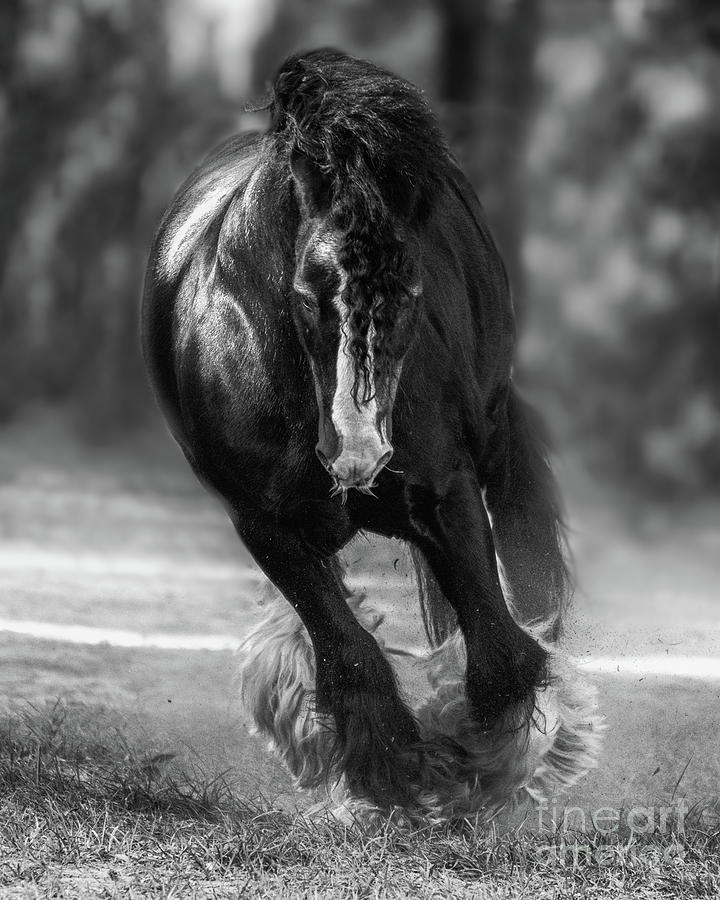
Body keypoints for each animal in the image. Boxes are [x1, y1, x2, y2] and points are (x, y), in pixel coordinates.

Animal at [143, 51, 592, 816]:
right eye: (305, 289)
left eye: (412, 289)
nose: (360, 455)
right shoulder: (265, 523)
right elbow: (346, 651)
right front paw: (395, 772)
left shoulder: (442, 493)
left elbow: (499, 654)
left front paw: (476, 770)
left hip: (493, 432)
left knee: (525, 552)